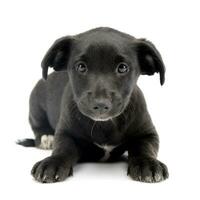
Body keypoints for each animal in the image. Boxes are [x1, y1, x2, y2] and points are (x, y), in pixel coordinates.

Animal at [18, 27, 169, 184]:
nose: (100, 104)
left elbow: (144, 148)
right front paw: (53, 162)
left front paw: (147, 163)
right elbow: (63, 148)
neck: (105, 125)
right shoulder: (65, 133)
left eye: (122, 68)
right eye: (81, 67)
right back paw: (46, 137)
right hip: (35, 102)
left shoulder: (148, 134)